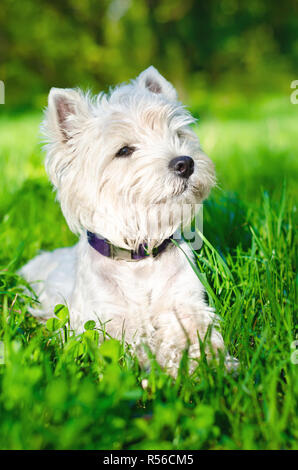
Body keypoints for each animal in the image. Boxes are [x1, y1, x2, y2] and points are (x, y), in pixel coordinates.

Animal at [19, 67, 236, 374]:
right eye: (124, 150)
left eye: (178, 134)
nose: (185, 164)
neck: (140, 260)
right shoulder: (107, 320)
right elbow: (130, 349)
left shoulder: (186, 304)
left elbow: (196, 335)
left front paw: (208, 365)